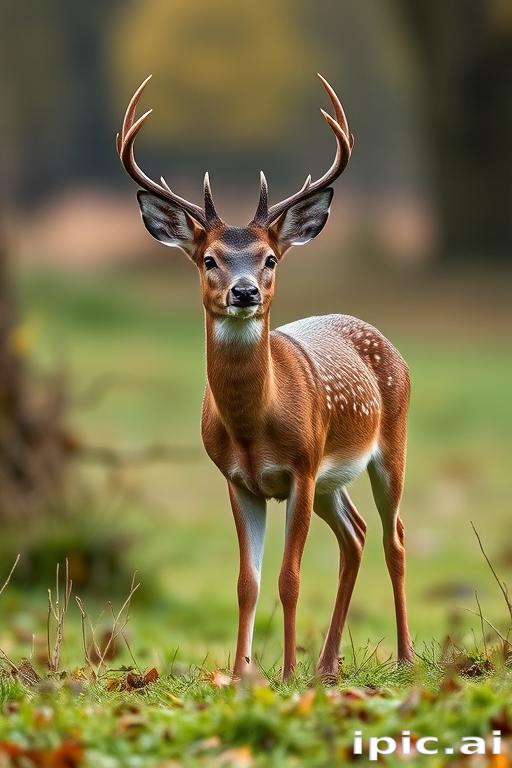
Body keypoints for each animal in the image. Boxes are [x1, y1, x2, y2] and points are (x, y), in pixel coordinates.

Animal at [117, 74, 414, 681]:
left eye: (270, 258)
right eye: (209, 258)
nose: (245, 290)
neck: (256, 427)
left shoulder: (300, 466)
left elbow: (289, 578)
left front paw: (285, 674)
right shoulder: (239, 480)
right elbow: (246, 583)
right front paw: (241, 674)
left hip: (385, 448)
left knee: (394, 537)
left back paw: (402, 656)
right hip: (331, 480)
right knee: (356, 537)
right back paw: (328, 665)